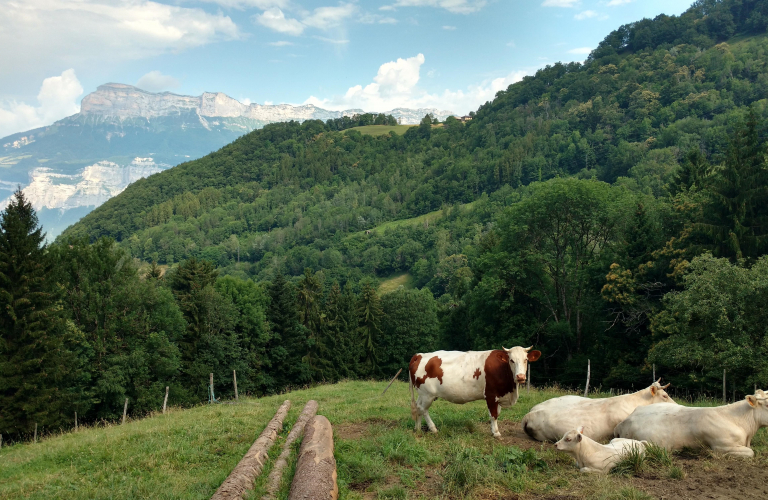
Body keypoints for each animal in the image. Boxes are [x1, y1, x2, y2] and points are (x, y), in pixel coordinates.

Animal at [408, 348, 540, 438]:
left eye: (526, 360)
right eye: (511, 360)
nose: (520, 377)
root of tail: (420, 355)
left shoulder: (498, 397)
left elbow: (497, 413)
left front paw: (493, 430)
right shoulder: (491, 395)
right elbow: (493, 415)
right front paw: (496, 433)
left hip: (422, 394)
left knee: (418, 408)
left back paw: (417, 428)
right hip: (427, 394)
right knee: (423, 409)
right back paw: (433, 428)